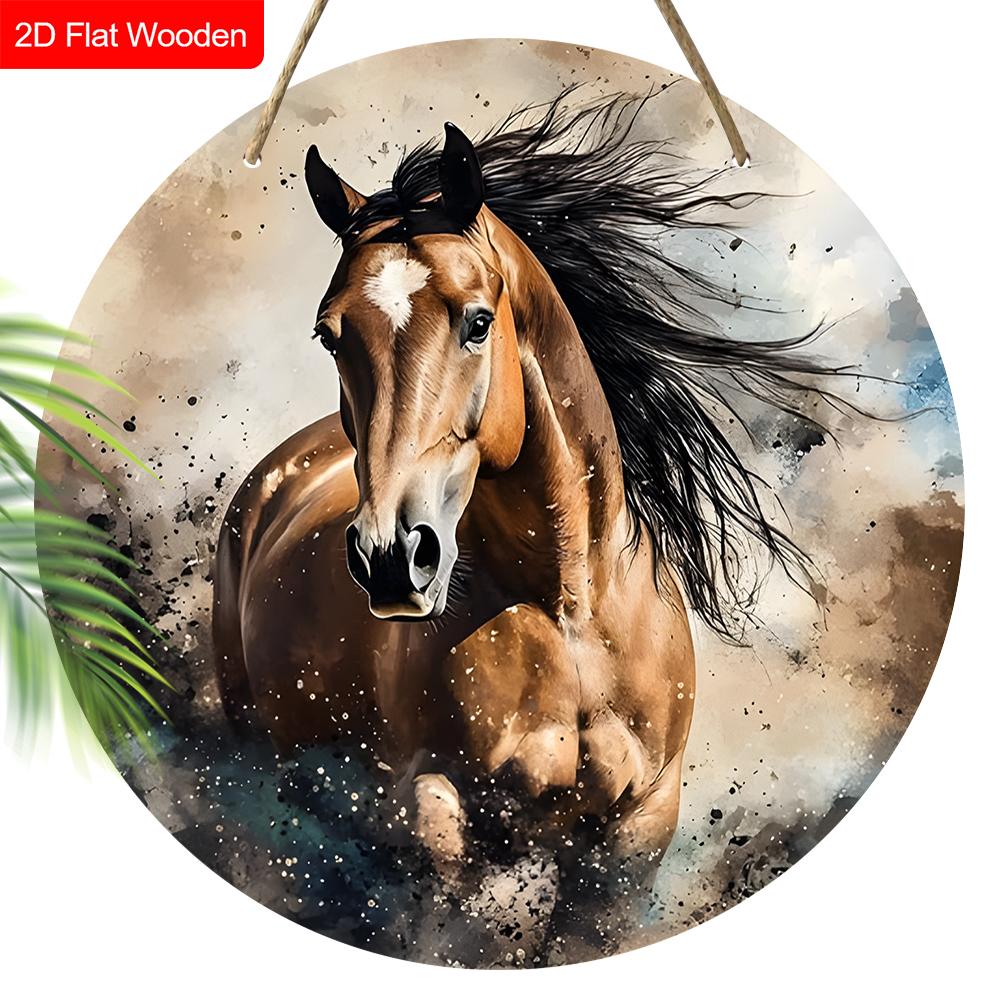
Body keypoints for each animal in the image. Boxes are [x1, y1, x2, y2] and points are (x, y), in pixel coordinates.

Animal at [213, 93, 837, 879]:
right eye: (331, 335)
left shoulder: (641, 828)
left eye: (479, 321)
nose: (391, 557)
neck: (571, 611)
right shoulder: (434, 809)